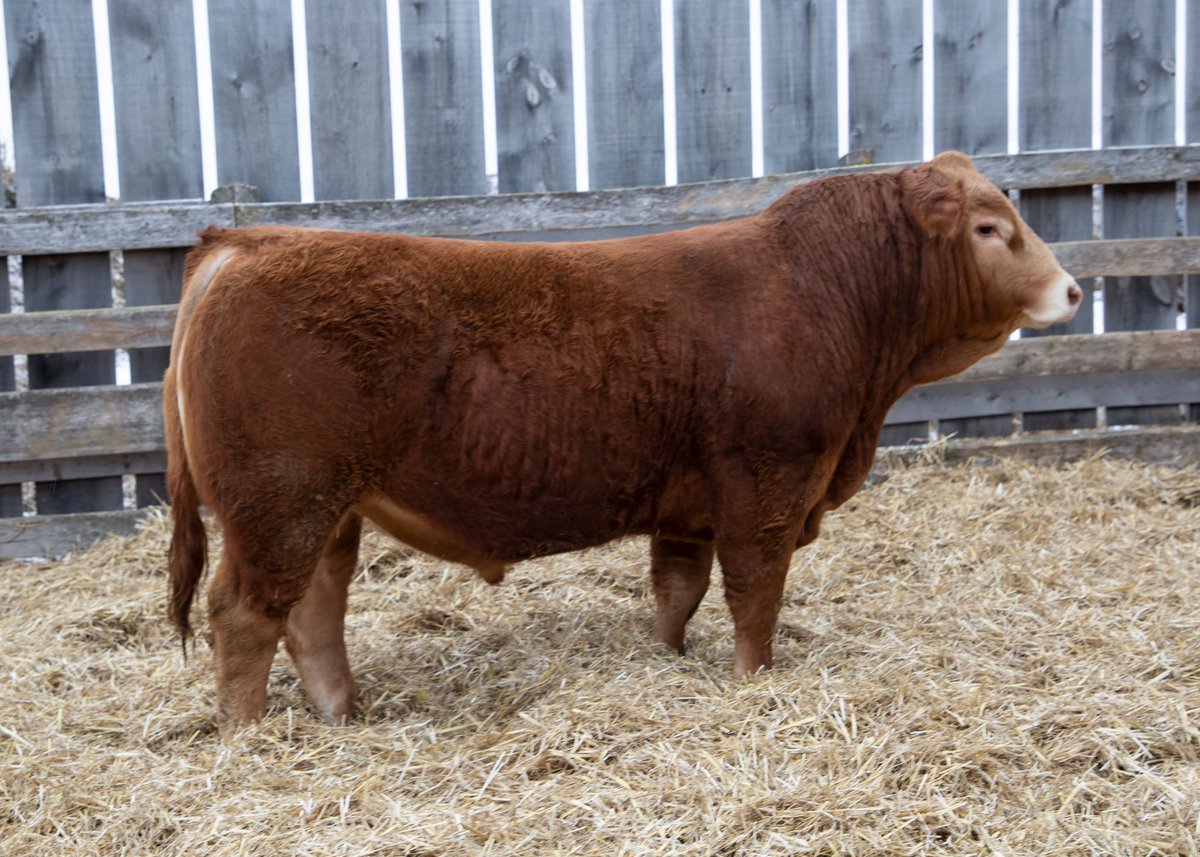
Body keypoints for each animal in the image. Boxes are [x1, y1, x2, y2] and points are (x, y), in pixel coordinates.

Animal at [164, 152, 1081, 731]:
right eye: (991, 228)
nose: (1072, 289)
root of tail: (241, 242)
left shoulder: (689, 502)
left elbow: (678, 590)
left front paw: (668, 661)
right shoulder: (769, 483)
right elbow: (756, 593)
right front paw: (754, 680)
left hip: (327, 507)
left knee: (312, 610)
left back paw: (344, 715)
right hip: (281, 499)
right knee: (244, 614)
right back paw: (248, 736)